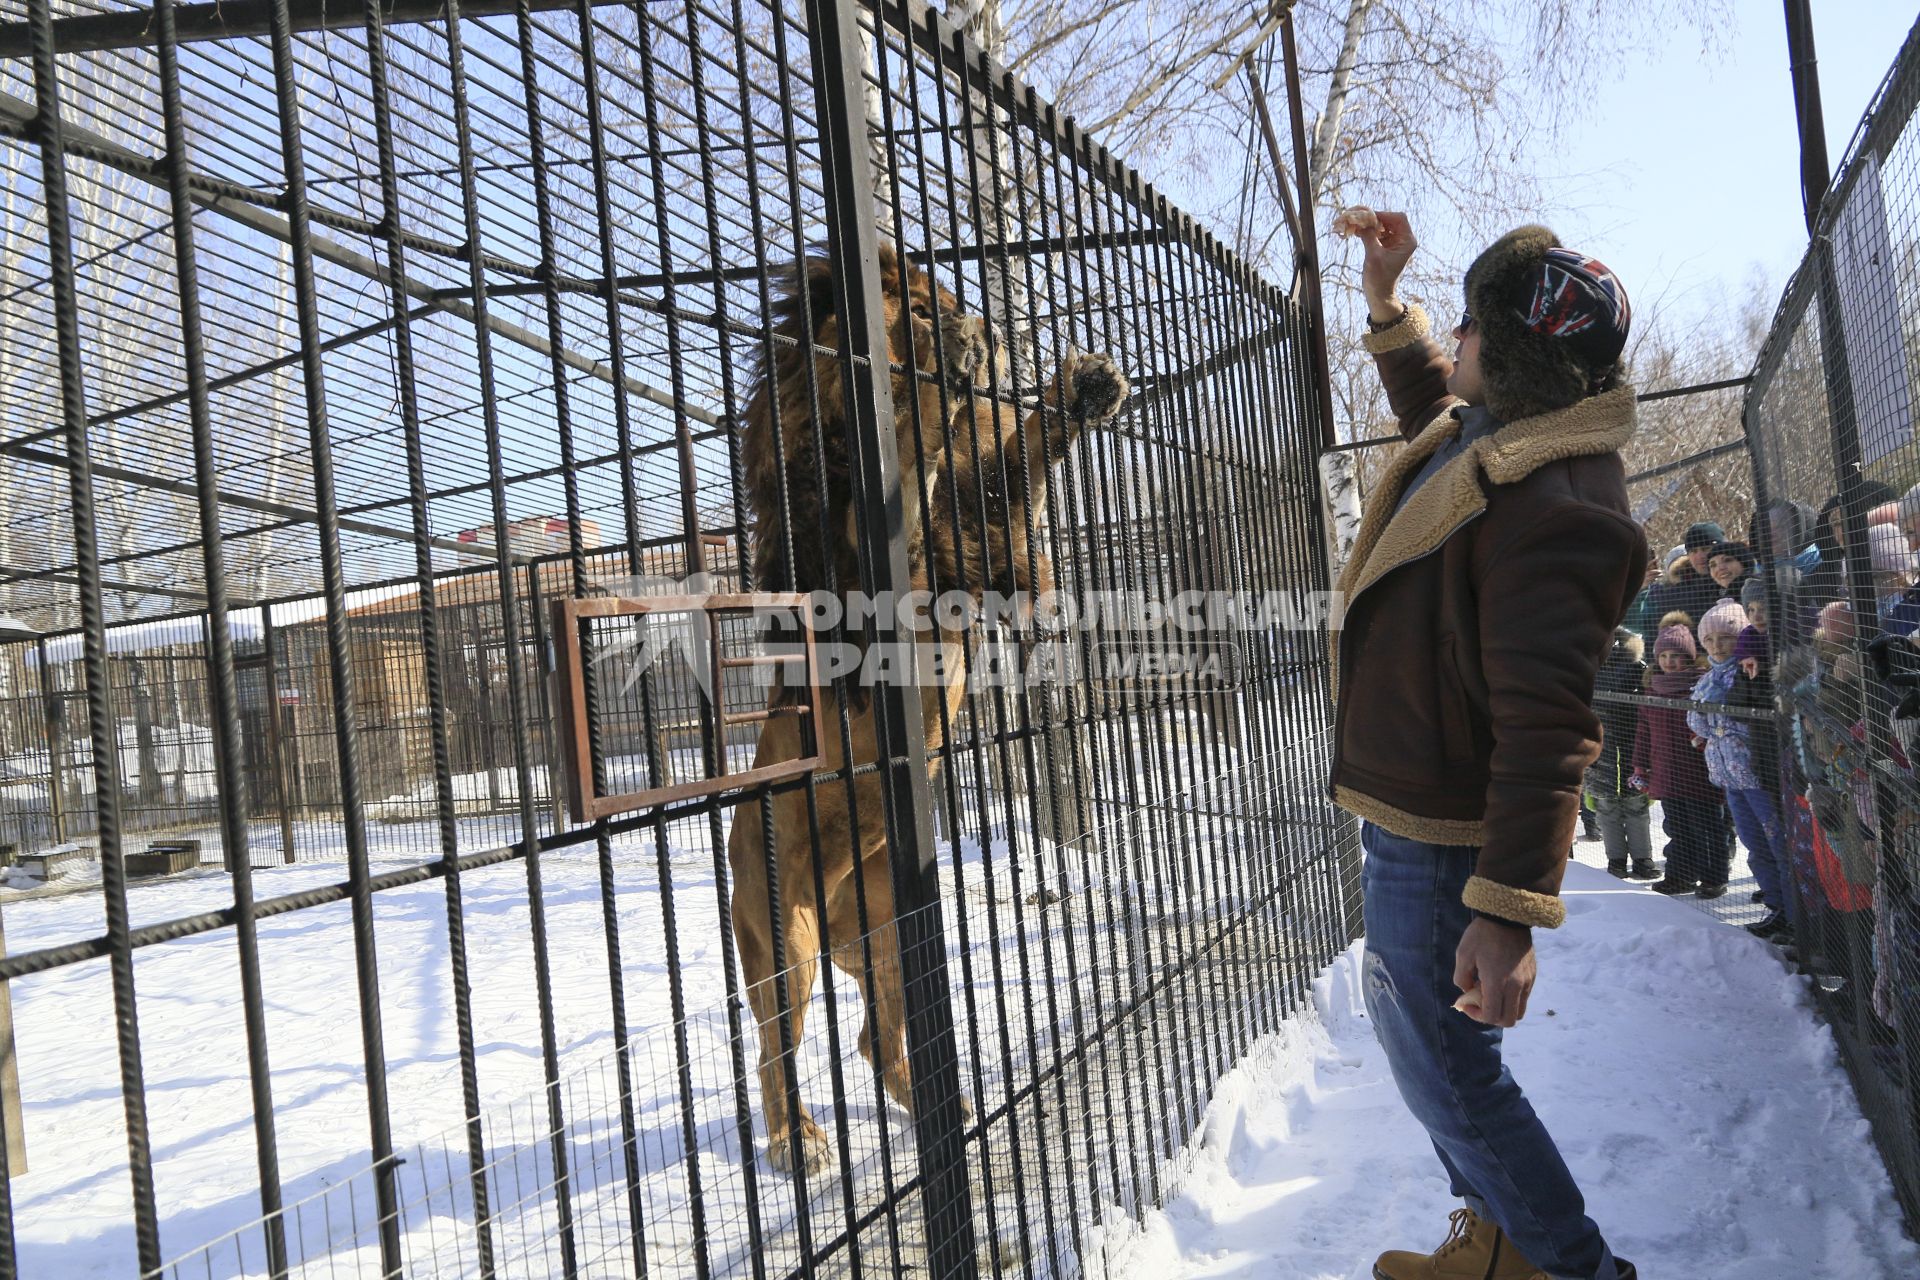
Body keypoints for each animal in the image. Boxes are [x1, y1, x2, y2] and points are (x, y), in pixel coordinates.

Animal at [729, 239, 1121, 1174]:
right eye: (911, 303)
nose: (975, 324)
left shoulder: (978, 535)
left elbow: (1012, 465)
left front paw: (1084, 386)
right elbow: (909, 438)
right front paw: (952, 373)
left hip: (891, 938)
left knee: (875, 1041)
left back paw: (947, 1108)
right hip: (782, 938)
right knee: (773, 1052)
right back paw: (799, 1142)